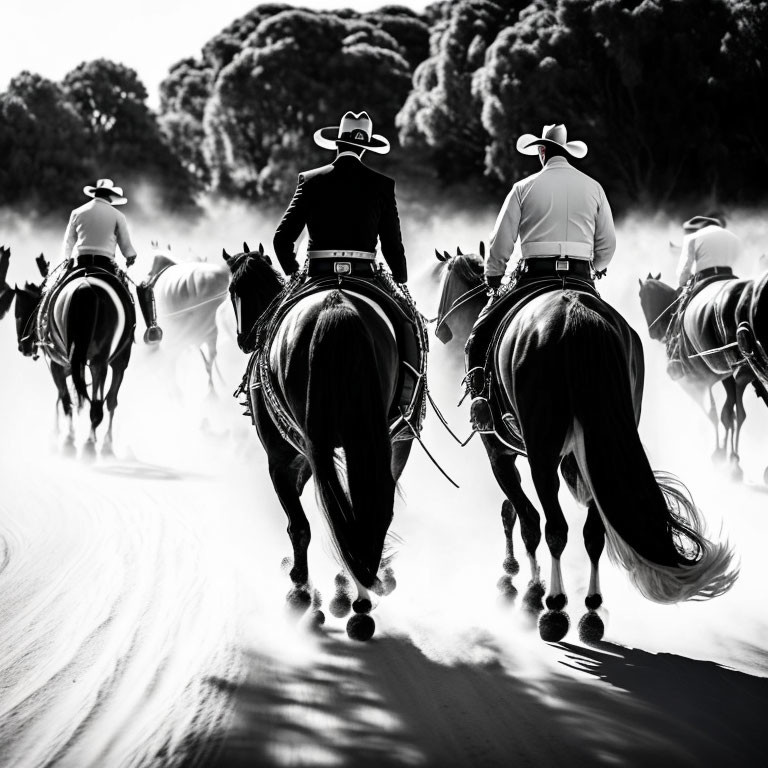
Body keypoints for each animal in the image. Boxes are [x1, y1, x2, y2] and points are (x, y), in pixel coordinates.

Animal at [14, 264, 134, 456]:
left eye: (18, 313)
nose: (22, 347)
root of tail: (85, 287)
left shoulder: (58, 364)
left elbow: (66, 399)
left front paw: (64, 437)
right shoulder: (72, 366)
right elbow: (68, 397)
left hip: (101, 363)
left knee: (97, 404)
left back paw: (90, 444)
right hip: (110, 362)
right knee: (106, 402)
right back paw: (99, 444)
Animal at [224, 246, 414, 640]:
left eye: (231, 290)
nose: (245, 338)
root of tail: (335, 306)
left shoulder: (286, 455)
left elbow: (298, 520)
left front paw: (300, 586)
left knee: (315, 520)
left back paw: (324, 595)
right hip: (386, 443)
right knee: (367, 510)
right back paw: (360, 594)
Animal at [436, 255, 736, 644]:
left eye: (445, 284)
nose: (441, 330)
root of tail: (575, 315)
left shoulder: (499, 453)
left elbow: (523, 516)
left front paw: (522, 587)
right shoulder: (569, 461)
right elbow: (514, 511)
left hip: (543, 453)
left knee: (554, 527)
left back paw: (553, 608)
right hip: (599, 446)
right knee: (593, 533)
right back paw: (591, 612)